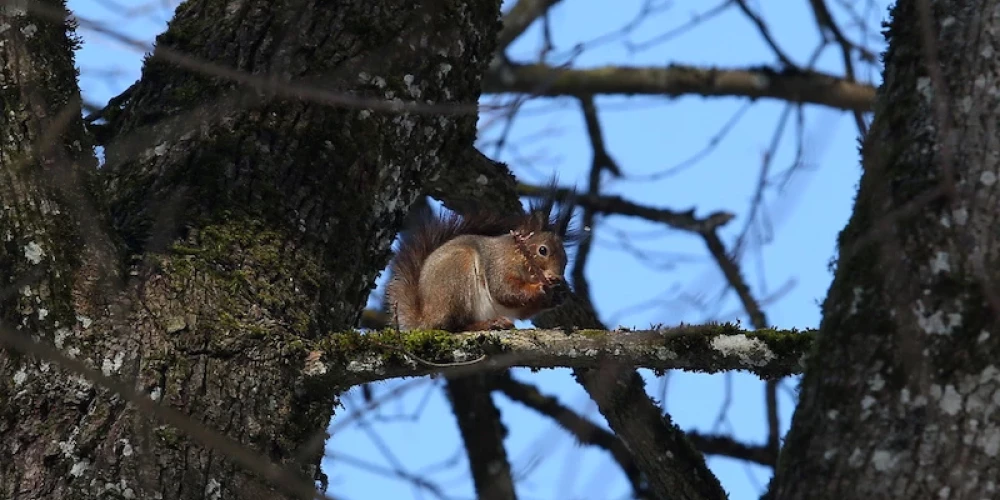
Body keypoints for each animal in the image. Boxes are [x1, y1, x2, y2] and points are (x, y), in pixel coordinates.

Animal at [388, 194, 584, 332]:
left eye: (566, 260)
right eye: (543, 250)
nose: (557, 277)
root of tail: (425, 319)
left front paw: (557, 295)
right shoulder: (498, 265)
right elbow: (505, 290)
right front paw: (541, 288)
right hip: (457, 275)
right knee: (451, 326)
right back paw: (488, 324)